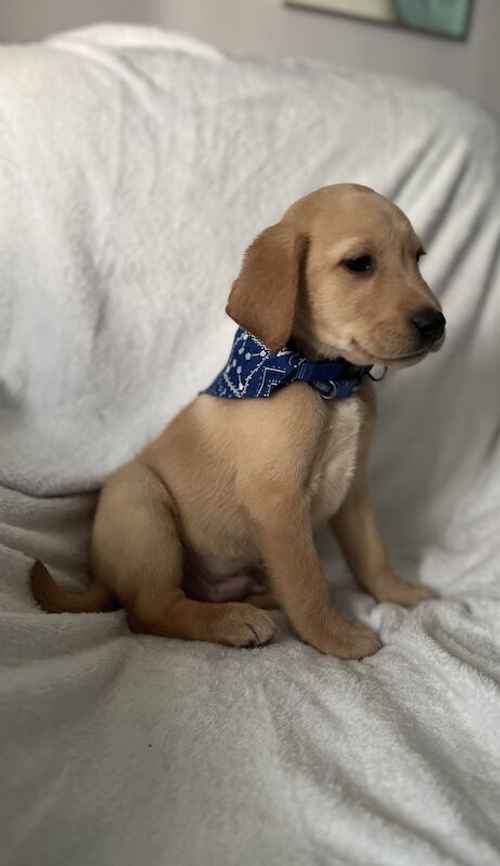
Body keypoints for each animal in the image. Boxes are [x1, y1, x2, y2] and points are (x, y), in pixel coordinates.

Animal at [31, 182, 446, 656]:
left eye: (418, 259)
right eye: (359, 264)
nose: (436, 323)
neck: (323, 379)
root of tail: (101, 576)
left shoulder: (354, 489)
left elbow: (371, 553)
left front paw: (398, 593)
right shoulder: (278, 501)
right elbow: (309, 583)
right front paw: (336, 637)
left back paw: (259, 600)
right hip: (141, 501)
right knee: (151, 609)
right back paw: (232, 621)